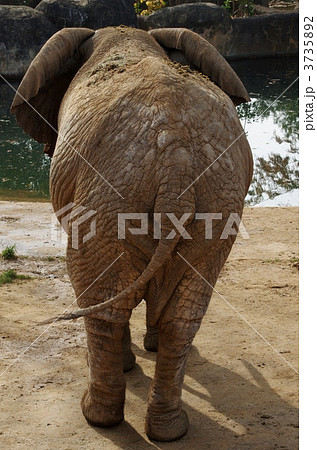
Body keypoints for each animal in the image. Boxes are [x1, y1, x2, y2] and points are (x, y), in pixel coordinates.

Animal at [11, 26, 252, 442]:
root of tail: (176, 159)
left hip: (110, 197)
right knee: (183, 314)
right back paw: (170, 431)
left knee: (103, 302)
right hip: (215, 203)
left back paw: (98, 418)